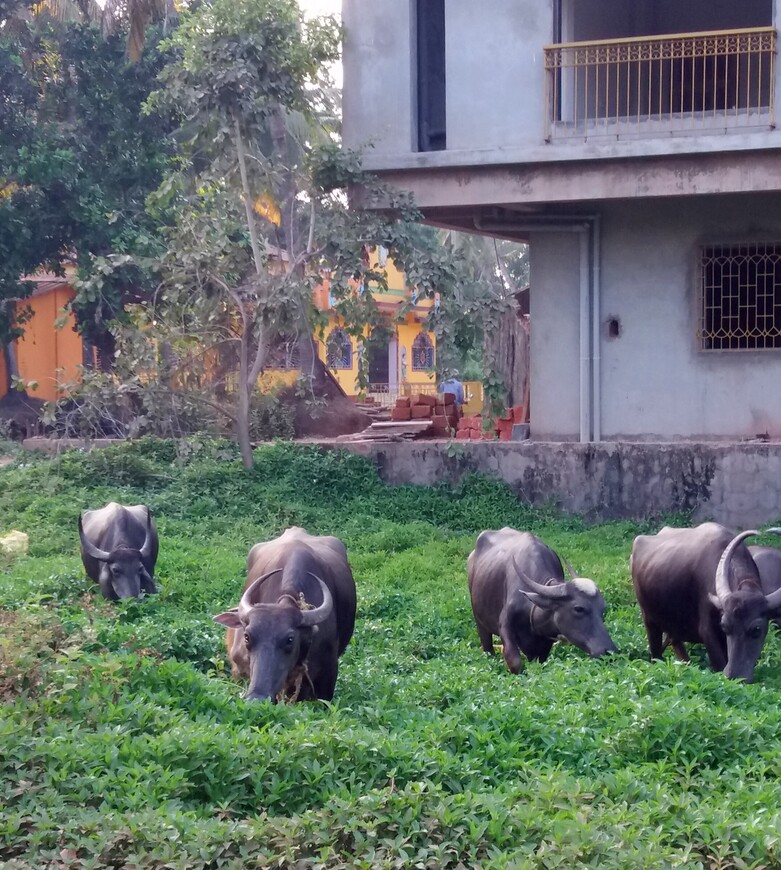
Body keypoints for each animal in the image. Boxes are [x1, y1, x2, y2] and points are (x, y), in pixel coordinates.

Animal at [470, 524, 616, 676]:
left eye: (602, 609)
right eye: (578, 608)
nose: (609, 651)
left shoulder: (544, 643)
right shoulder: (505, 625)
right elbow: (514, 661)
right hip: (480, 622)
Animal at [632, 520, 780, 684]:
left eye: (756, 629)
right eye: (725, 626)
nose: (734, 675)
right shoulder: (708, 632)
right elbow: (718, 663)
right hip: (649, 621)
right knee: (656, 653)